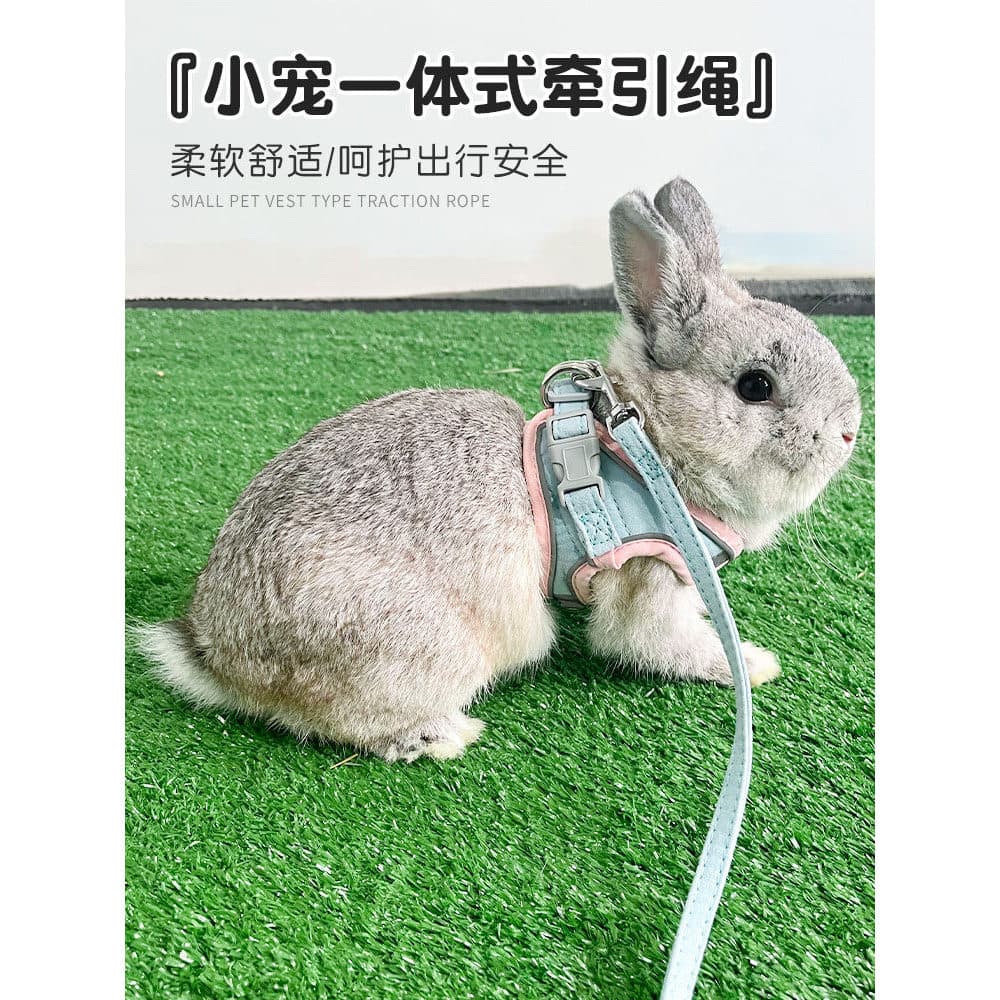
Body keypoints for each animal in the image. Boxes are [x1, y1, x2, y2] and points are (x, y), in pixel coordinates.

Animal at [136, 178, 861, 763]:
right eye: (755, 386)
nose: (850, 433)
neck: (647, 446)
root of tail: (220, 656)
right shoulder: (647, 574)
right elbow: (660, 643)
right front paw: (754, 666)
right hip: (425, 648)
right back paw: (441, 737)